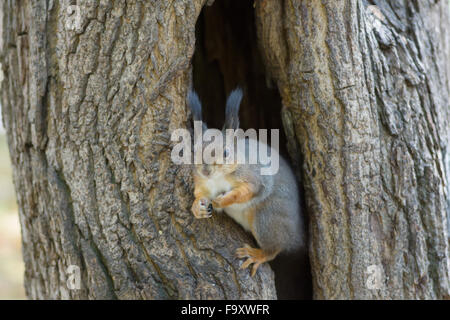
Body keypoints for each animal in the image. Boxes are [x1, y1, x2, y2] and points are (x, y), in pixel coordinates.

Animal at [186, 88, 306, 278]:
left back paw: (257, 254)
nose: (206, 171)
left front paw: (223, 200)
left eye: (226, 152)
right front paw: (197, 207)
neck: (217, 178)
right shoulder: (202, 181)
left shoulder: (254, 177)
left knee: (275, 248)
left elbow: (247, 191)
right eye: (194, 150)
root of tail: (297, 236)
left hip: (267, 218)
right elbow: (200, 193)